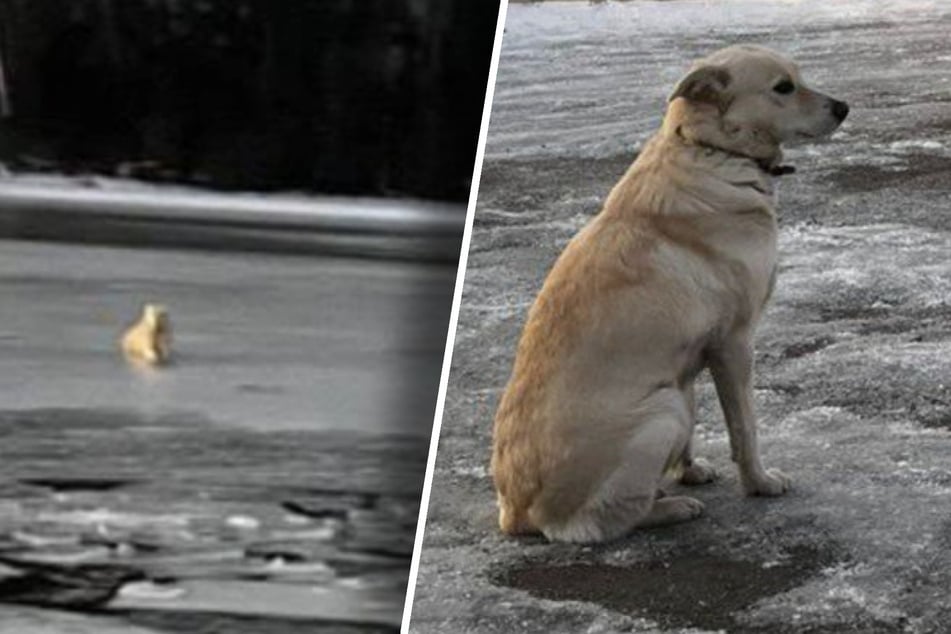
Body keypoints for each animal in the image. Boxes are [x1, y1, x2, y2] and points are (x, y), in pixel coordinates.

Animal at [490, 44, 848, 540]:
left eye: (800, 77)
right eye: (783, 87)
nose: (844, 107)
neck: (712, 149)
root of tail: (516, 514)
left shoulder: (690, 358)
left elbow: (700, 428)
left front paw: (690, 469)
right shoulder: (735, 343)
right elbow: (746, 428)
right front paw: (758, 482)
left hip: (672, 397)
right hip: (663, 410)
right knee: (600, 523)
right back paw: (672, 508)